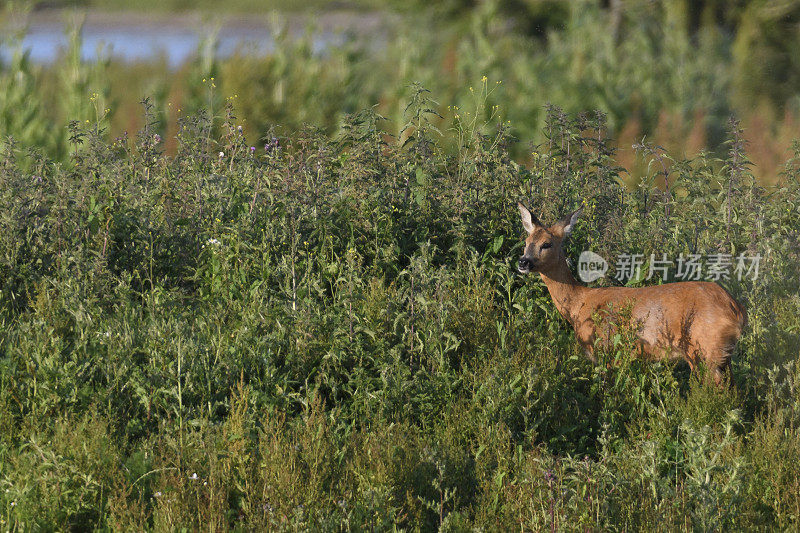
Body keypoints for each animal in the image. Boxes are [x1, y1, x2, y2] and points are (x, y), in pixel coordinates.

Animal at [516, 202, 748, 384]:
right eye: (526, 243)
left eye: (546, 244)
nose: (523, 262)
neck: (579, 305)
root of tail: (737, 310)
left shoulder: (609, 351)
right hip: (722, 357)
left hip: (703, 351)